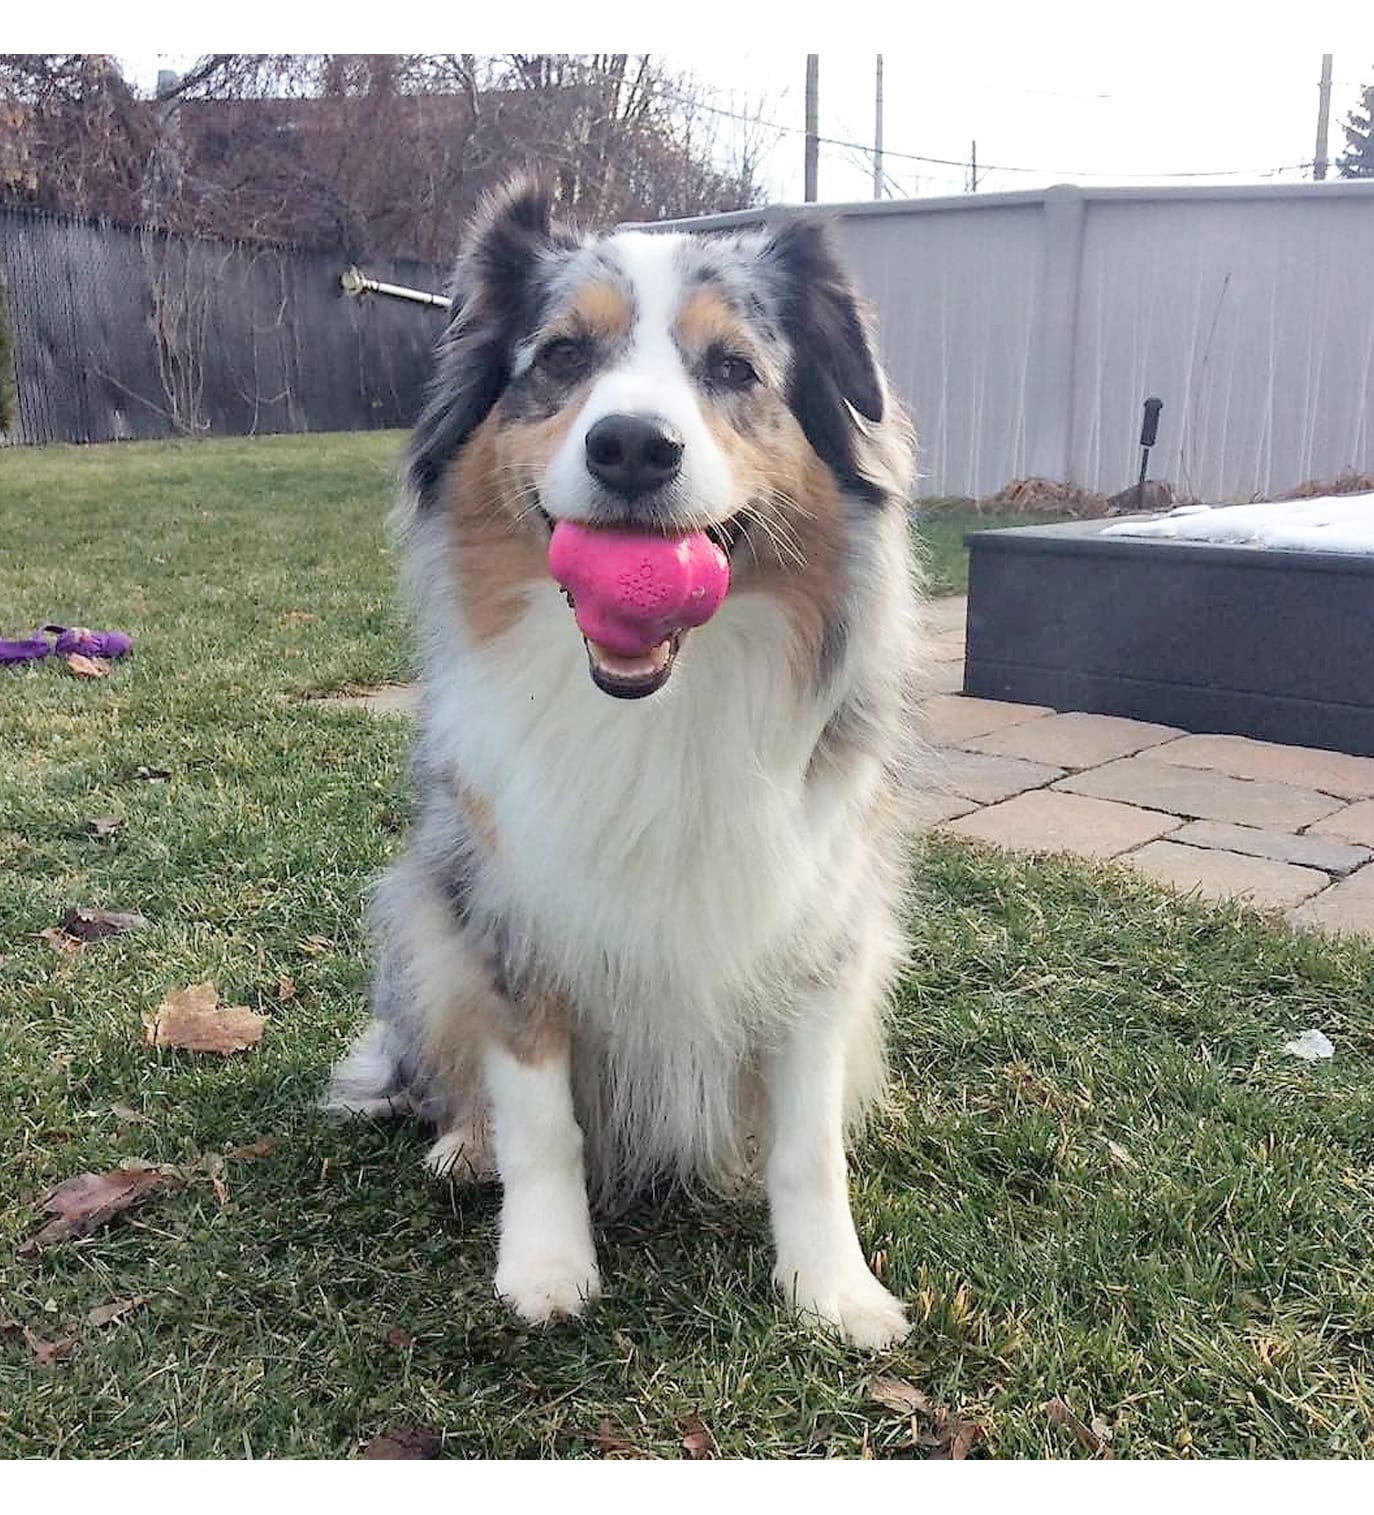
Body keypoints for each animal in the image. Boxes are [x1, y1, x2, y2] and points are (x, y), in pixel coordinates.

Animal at [328, 180, 927, 1351]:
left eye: (734, 368)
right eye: (563, 354)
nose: (634, 448)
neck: (662, 706)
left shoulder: (818, 933)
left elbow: (808, 1145)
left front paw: (832, 1291)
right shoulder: (514, 923)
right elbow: (541, 1120)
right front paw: (546, 1267)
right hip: (424, 916)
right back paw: (463, 1144)